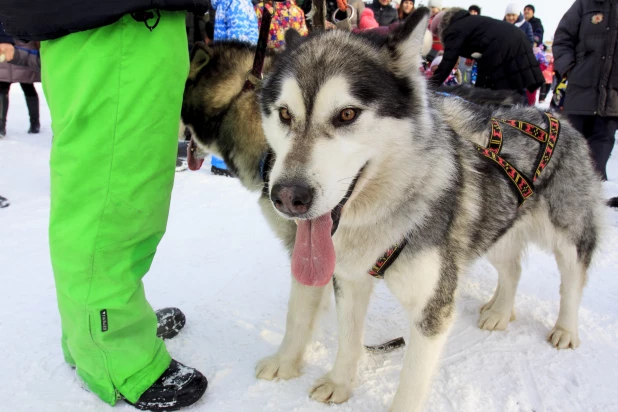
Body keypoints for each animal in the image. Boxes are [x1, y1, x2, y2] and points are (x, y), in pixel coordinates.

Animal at [179, 8, 600, 410]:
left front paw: (289, 362)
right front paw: (337, 382)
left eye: (347, 114)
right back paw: (499, 311)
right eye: (284, 114)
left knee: (572, 281)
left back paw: (565, 329)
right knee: (512, 268)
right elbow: (344, 336)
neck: (386, 213)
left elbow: (406, 379)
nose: (287, 197)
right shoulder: (347, 276)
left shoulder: (431, 308)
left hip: (565, 237)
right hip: (492, 228)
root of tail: (551, 115)